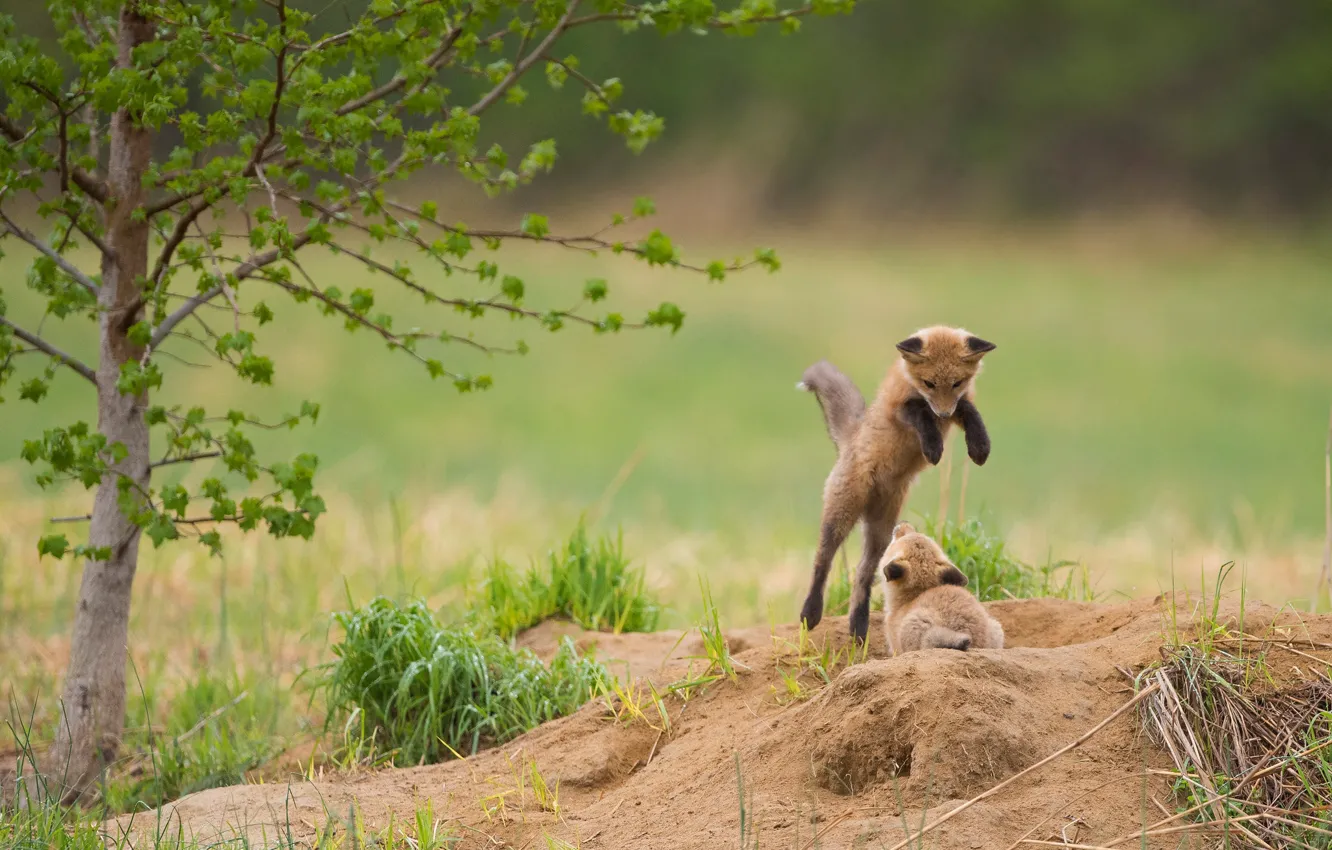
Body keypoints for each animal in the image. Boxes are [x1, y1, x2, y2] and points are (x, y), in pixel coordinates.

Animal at [796, 325, 995, 643]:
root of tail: (852, 438)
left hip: (882, 528)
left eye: (957, 382)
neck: (911, 382)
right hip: (841, 514)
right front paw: (933, 446)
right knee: (822, 562)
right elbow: (919, 411)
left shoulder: (959, 405)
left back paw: (859, 625)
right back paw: (811, 612)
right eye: (929, 382)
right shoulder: (898, 409)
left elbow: (969, 410)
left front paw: (980, 446)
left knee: (864, 573)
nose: (942, 414)